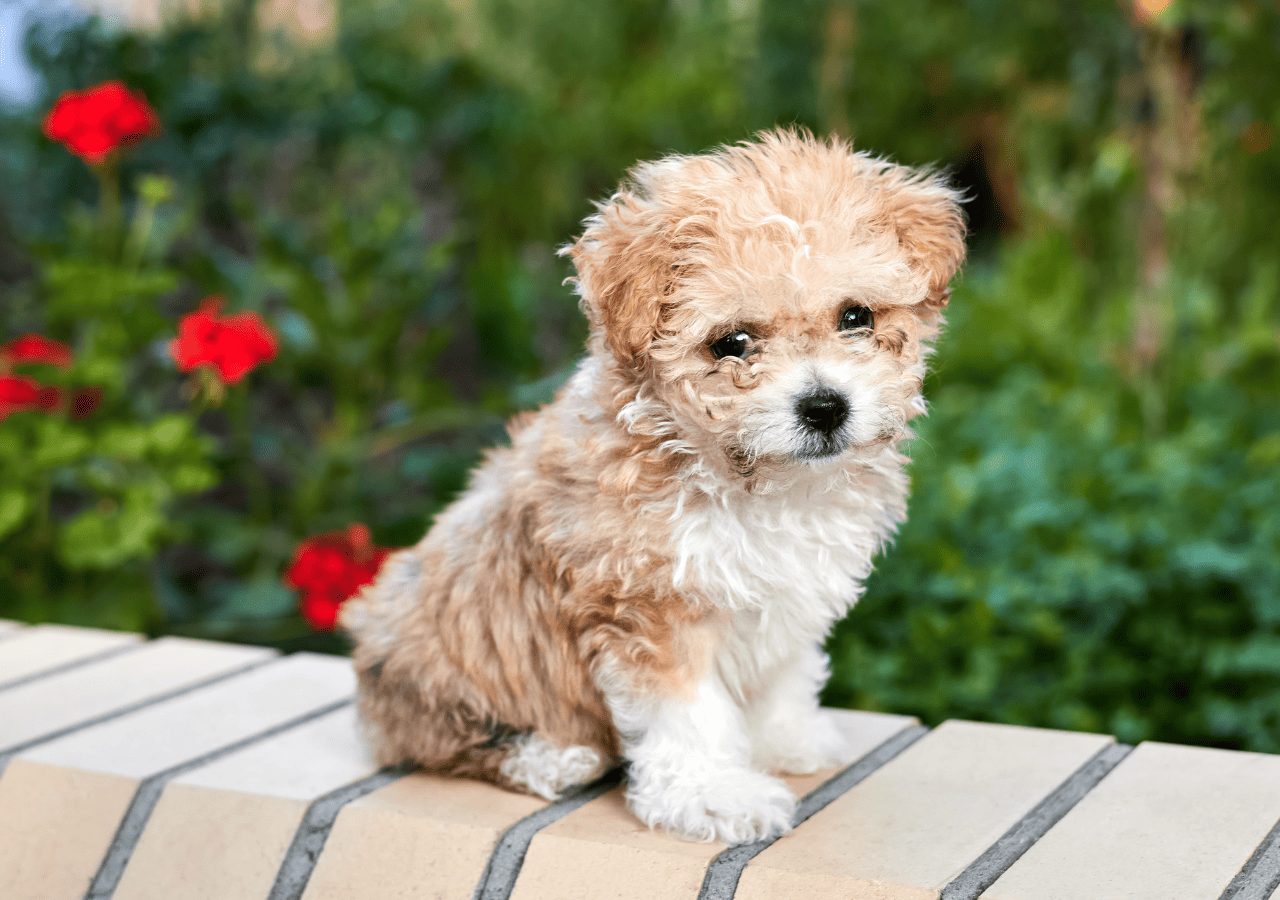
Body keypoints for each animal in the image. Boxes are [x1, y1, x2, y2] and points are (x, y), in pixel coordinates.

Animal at [340, 130, 962, 850]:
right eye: (732, 344)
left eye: (856, 315)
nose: (825, 406)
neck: (751, 482)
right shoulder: (649, 607)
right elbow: (688, 713)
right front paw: (716, 795)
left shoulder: (789, 589)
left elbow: (781, 672)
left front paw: (786, 739)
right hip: (438, 669)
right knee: (443, 741)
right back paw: (550, 758)